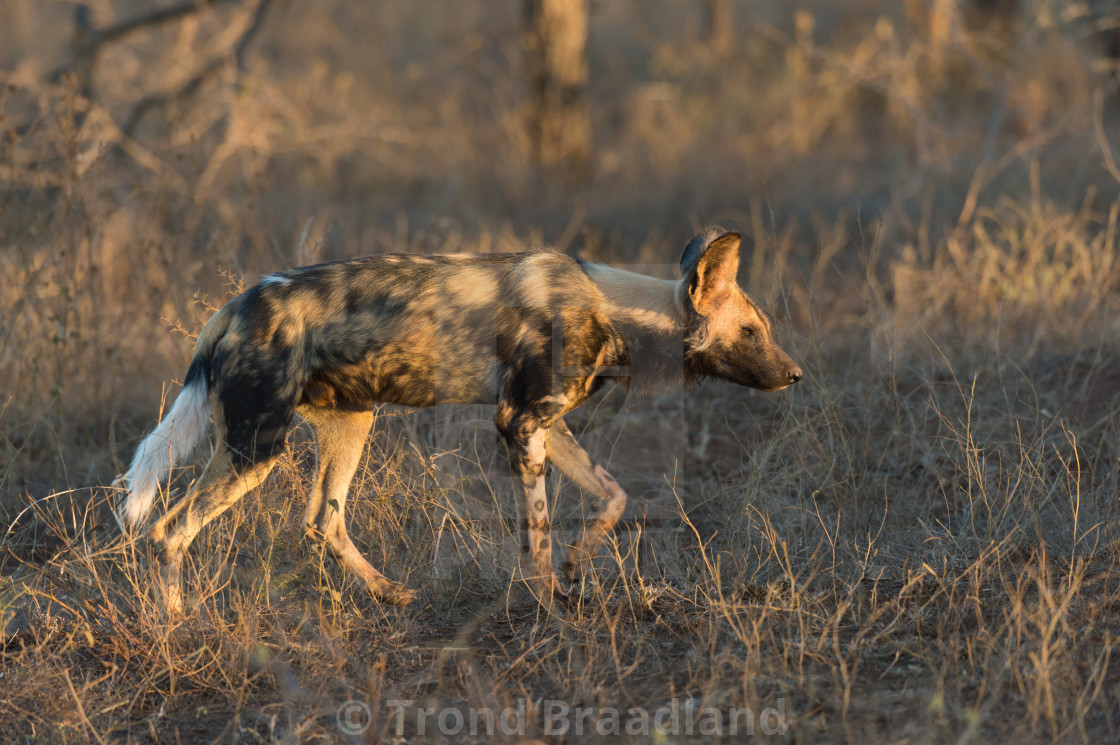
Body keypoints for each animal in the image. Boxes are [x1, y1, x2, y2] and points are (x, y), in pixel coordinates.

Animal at [118, 226, 801, 609]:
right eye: (750, 331)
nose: (796, 375)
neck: (614, 311)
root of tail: (233, 307)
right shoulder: (519, 423)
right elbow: (539, 531)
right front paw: (549, 600)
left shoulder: (545, 425)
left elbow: (613, 498)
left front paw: (574, 571)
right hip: (254, 449)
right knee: (168, 531)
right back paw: (182, 628)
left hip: (351, 425)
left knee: (322, 520)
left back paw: (391, 593)